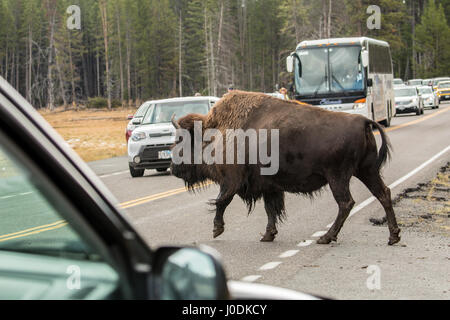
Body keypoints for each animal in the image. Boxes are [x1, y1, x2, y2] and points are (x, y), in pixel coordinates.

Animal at [170, 91, 400, 246]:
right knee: (383, 193)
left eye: (182, 139)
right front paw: (267, 235)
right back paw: (393, 236)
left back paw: (326, 238)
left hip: (339, 177)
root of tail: (363, 120)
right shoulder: (268, 187)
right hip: (366, 171)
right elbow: (270, 209)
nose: (173, 168)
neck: (215, 134)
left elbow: (221, 202)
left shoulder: (232, 181)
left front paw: (217, 230)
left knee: (346, 203)